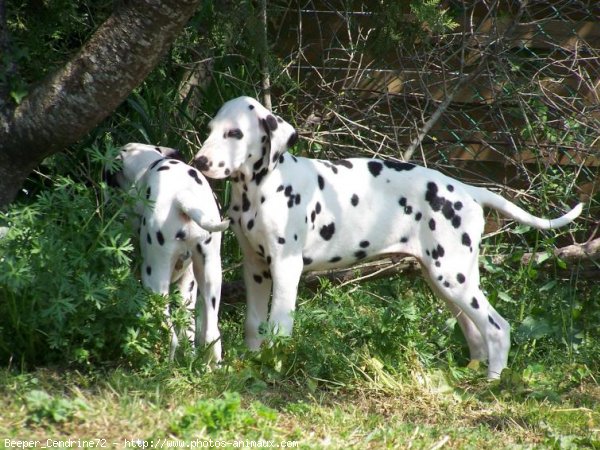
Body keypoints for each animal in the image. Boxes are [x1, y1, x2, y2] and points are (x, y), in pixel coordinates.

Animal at [110, 144, 227, 362]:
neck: (148, 166)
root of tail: (182, 197)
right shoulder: (187, 285)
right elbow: (188, 331)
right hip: (211, 281)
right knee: (211, 337)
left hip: (154, 283)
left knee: (170, 336)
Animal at [195, 98, 584, 380]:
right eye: (212, 130)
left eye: (235, 133)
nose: (199, 162)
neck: (261, 186)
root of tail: (468, 190)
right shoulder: (255, 267)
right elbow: (254, 323)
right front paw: (251, 362)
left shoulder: (286, 268)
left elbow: (279, 327)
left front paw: (276, 366)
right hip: (445, 280)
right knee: (474, 332)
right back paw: (471, 373)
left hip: (452, 278)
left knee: (497, 327)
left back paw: (492, 381)